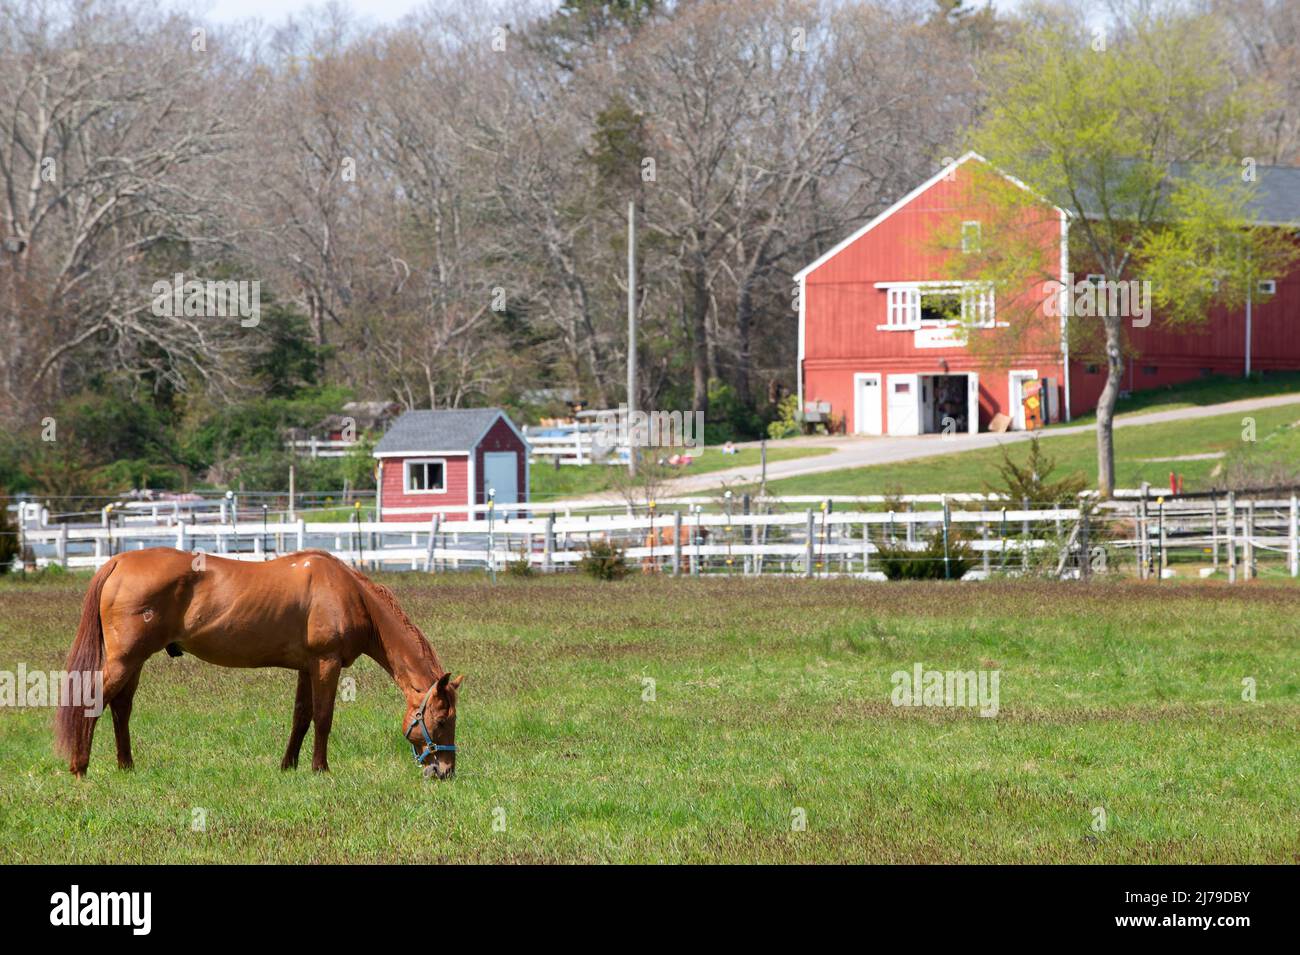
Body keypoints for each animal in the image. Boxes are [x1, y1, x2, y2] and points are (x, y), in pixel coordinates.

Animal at [55, 548, 462, 779]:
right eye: (442, 720)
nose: (444, 771)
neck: (349, 593)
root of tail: (118, 561)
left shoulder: (307, 667)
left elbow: (301, 717)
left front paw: (289, 766)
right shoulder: (326, 663)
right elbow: (323, 718)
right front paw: (321, 769)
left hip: (134, 661)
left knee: (121, 708)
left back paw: (126, 766)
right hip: (125, 659)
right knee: (95, 702)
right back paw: (79, 768)